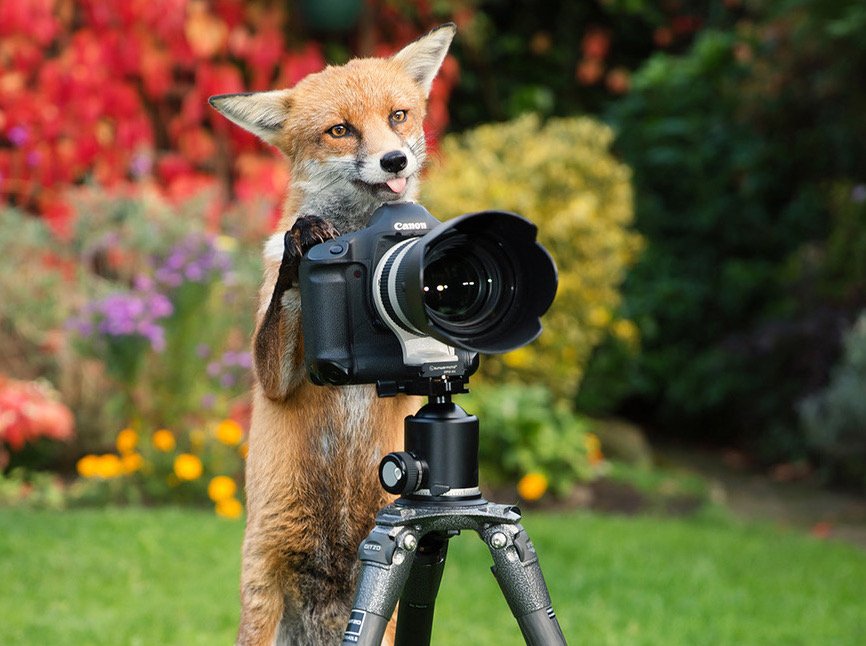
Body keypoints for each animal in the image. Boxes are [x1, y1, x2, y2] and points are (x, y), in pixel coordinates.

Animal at [208, 24, 456, 646]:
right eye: (341, 130)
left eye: (397, 115)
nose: (393, 159)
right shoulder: (272, 377)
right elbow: (284, 293)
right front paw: (302, 243)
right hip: (262, 601)